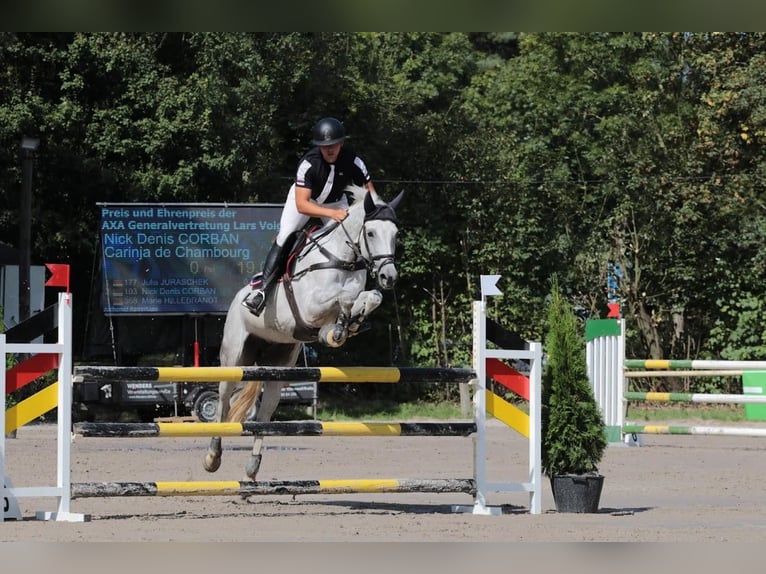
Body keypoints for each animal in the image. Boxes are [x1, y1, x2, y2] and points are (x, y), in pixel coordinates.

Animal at [204, 186, 408, 482]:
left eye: (395, 234)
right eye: (370, 233)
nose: (388, 277)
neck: (342, 259)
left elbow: (370, 297)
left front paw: (348, 325)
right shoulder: (310, 307)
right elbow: (343, 298)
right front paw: (336, 330)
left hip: (278, 364)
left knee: (264, 412)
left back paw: (252, 467)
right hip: (234, 358)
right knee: (223, 402)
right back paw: (212, 457)